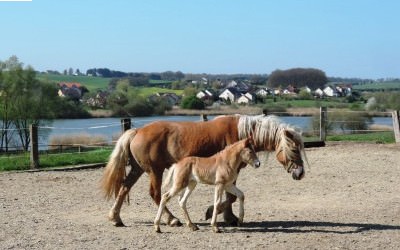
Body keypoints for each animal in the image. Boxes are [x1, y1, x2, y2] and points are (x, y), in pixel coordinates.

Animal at [101, 114, 306, 228]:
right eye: (294, 149)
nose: (300, 173)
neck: (240, 133)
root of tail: (136, 131)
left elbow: (233, 196)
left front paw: (228, 217)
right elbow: (231, 197)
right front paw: (216, 214)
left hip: (138, 170)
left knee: (124, 188)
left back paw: (115, 218)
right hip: (155, 171)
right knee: (156, 194)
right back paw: (172, 219)